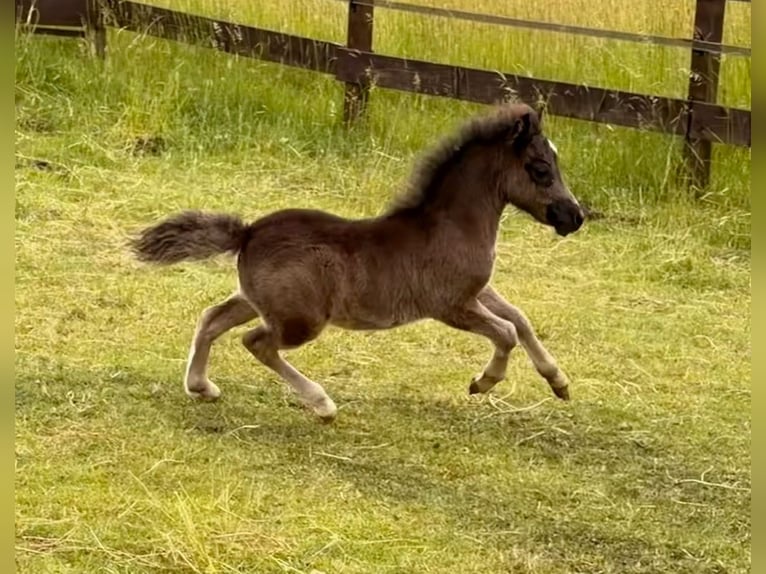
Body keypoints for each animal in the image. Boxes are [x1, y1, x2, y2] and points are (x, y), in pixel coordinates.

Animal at [131, 102, 585, 423]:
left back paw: (202, 387)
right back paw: (323, 405)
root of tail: (248, 232)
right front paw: (482, 382)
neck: (451, 225)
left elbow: (520, 319)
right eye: (540, 169)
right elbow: (506, 332)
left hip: (256, 300)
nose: (575, 216)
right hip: (302, 321)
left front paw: (559, 382)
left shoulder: (477, 289)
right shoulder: (451, 305)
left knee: (211, 319)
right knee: (256, 342)